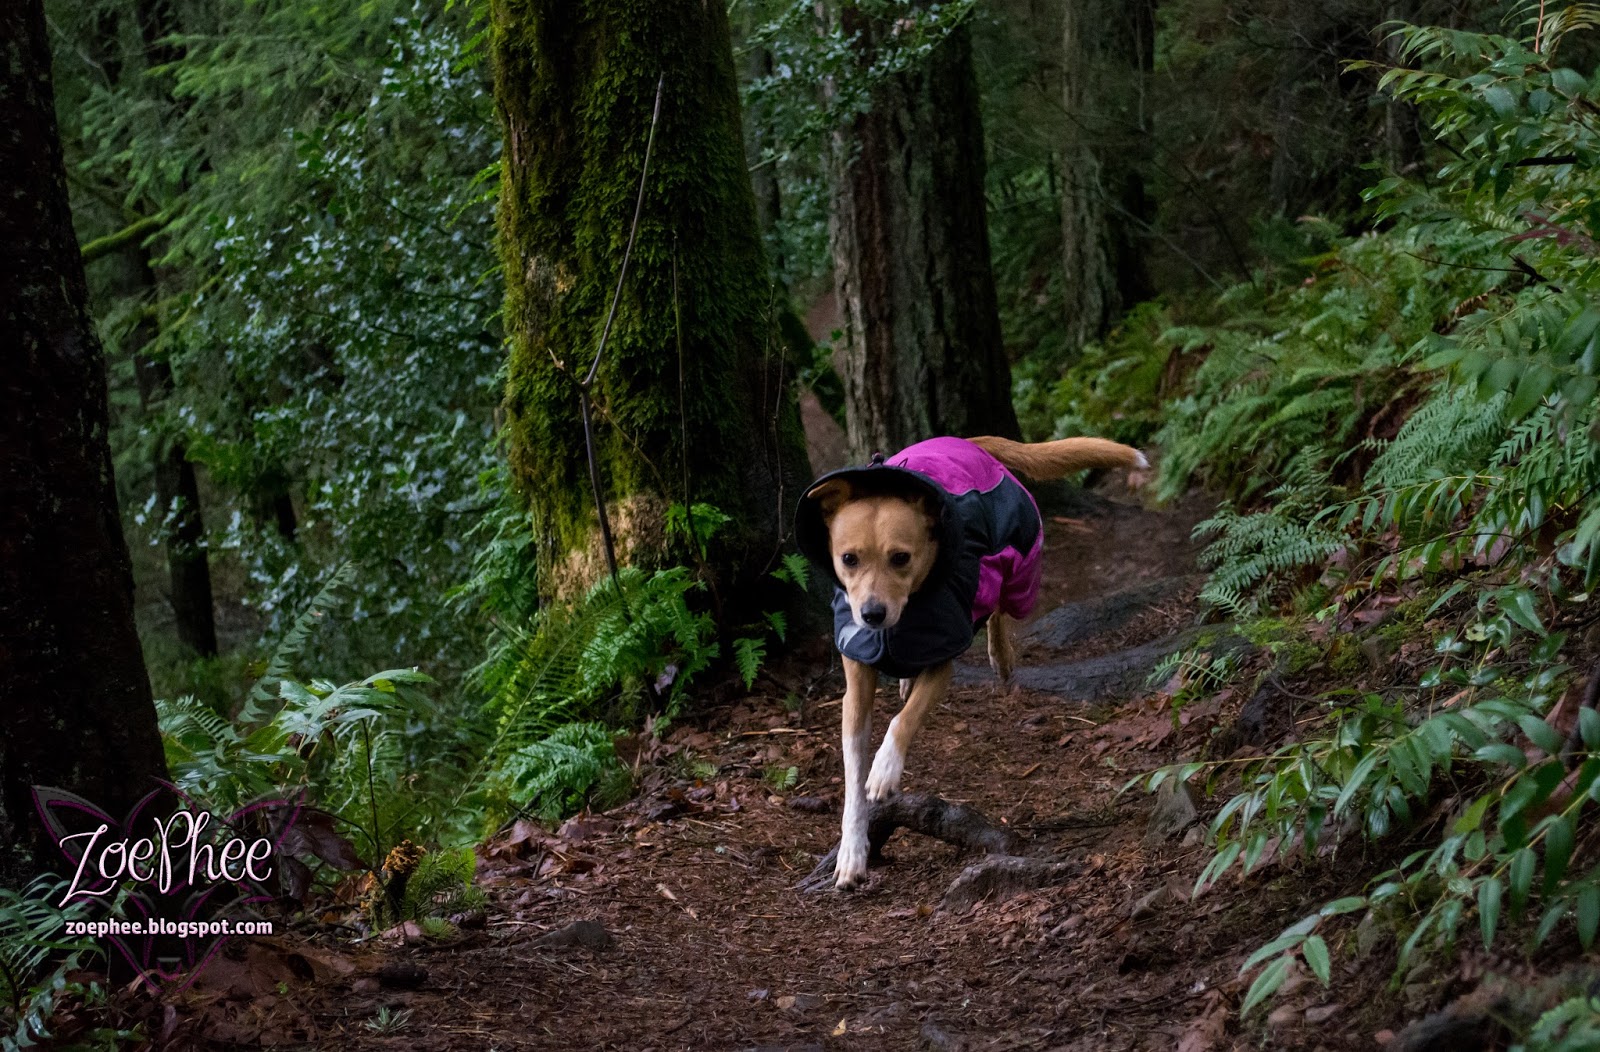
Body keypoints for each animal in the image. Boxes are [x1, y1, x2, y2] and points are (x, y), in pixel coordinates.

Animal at [794, 435, 1148, 888]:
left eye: (901, 558)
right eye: (848, 559)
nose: (871, 615)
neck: (902, 618)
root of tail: (967, 440)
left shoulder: (943, 663)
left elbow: (904, 721)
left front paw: (886, 769)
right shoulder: (855, 686)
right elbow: (854, 775)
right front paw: (853, 851)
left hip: (1017, 564)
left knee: (997, 603)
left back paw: (1002, 656)